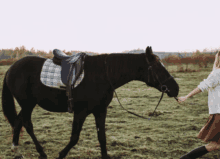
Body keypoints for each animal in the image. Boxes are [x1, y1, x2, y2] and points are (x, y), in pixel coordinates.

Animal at [1, 46, 179, 159]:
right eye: (158, 68)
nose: (175, 89)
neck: (102, 75)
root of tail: (11, 68)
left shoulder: (100, 111)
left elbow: (102, 137)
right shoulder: (81, 112)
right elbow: (74, 138)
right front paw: (61, 154)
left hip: (27, 104)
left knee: (18, 121)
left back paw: (16, 149)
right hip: (27, 103)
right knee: (26, 123)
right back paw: (40, 152)